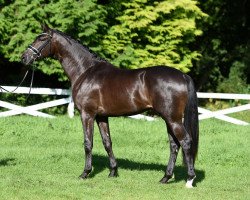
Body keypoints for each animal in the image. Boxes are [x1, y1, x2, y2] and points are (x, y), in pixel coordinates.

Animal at [22, 24, 200, 188]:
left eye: (42, 38)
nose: (24, 57)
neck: (85, 71)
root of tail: (183, 76)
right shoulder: (101, 117)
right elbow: (107, 142)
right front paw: (113, 171)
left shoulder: (87, 114)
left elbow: (88, 143)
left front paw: (85, 173)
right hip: (168, 119)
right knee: (174, 145)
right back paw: (165, 178)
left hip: (173, 119)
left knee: (185, 142)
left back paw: (190, 179)